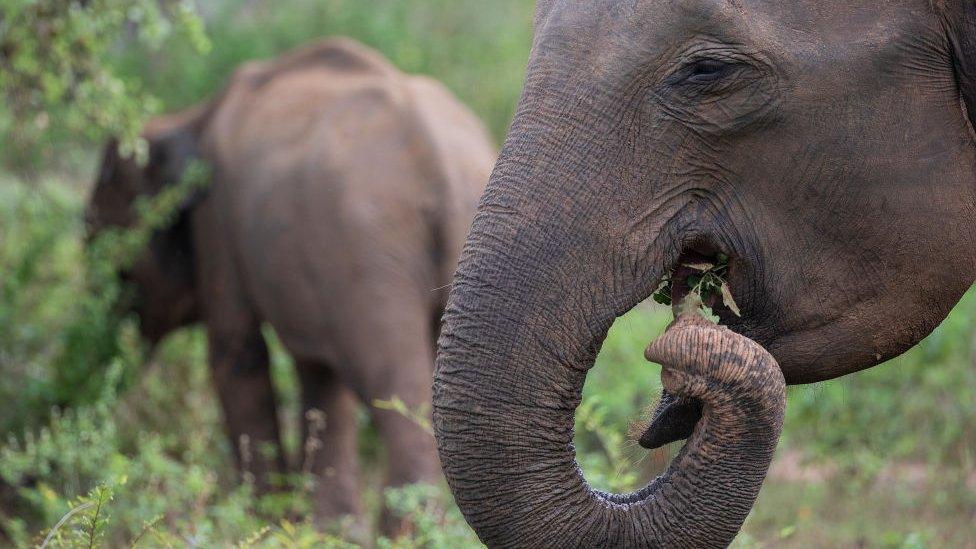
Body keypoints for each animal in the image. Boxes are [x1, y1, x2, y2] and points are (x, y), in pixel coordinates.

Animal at [86, 37, 496, 528]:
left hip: (368, 252)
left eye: (98, 240)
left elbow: (237, 354)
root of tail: (439, 163)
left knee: (395, 391)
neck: (184, 118)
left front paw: (267, 522)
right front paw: (327, 528)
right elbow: (318, 372)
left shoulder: (217, 220)